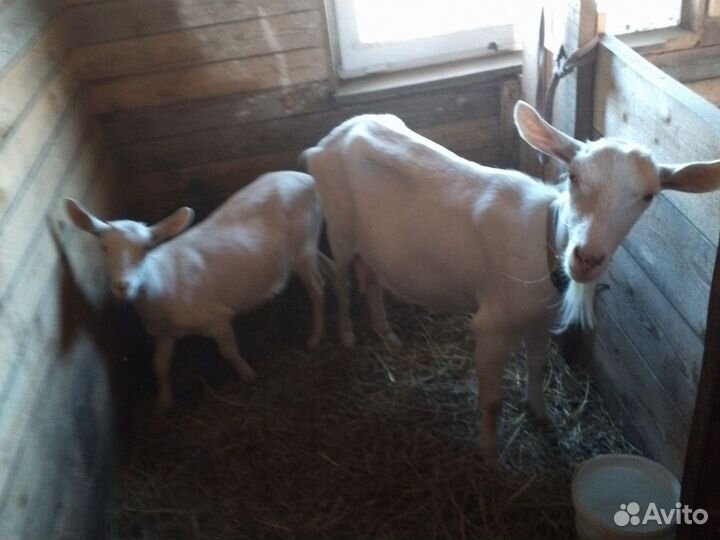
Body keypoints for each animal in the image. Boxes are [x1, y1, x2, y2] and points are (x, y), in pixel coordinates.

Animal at [64, 171, 330, 412]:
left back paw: (315, 337)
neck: (163, 284)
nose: (123, 286)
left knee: (317, 288)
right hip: (309, 243)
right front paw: (164, 403)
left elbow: (229, 352)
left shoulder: (217, 318)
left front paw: (248, 375)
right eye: (103, 247)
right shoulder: (163, 333)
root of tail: (306, 178)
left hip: (303, 248)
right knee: (324, 267)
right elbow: (159, 366)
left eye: (147, 248)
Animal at [300, 101, 720, 464]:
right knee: (339, 277)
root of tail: (328, 140)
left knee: (369, 277)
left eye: (648, 196)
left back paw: (386, 334)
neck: (544, 241)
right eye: (573, 176)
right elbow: (491, 400)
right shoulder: (490, 325)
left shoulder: (540, 318)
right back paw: (348, 335)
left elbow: (537, 367)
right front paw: (488, 454)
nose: (586, 258)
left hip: (371, 242)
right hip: (339, 227)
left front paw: (540, 414)